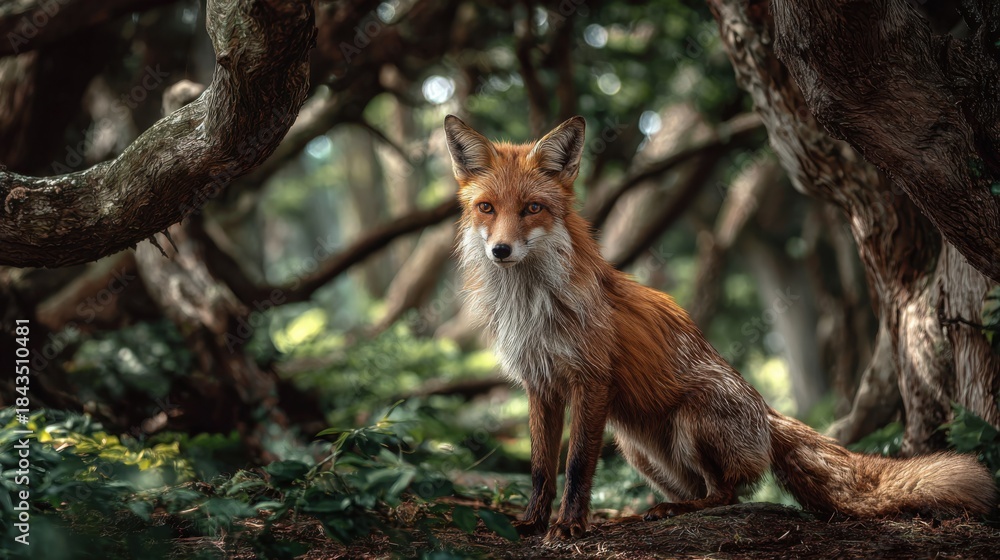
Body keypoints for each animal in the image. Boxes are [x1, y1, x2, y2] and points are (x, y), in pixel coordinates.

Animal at [443, 114, 998, 540]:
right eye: (487, 208)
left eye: (532, 209)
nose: (500, 250)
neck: (533, 306)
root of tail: (768, 414)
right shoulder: (541, 384)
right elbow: (541, 468)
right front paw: (532, 524)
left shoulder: (590, 380)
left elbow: (577, 466)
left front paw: (570, 527)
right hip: (636, 447)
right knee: (706, 490)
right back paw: (653, 512)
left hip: (691, 418)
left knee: (726, 494)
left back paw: (675, 511)